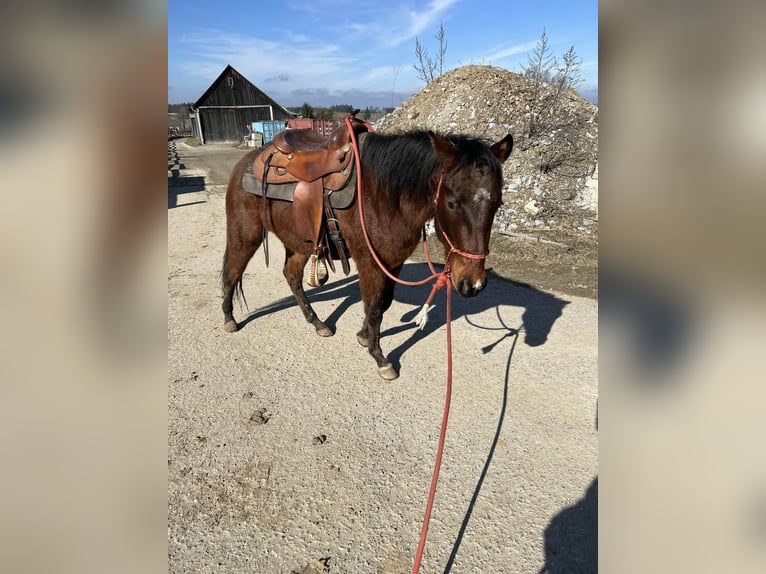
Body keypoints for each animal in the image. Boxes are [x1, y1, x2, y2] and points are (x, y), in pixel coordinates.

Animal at [219, 130, 512, 382]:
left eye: (497, 203)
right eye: (451, 203)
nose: (473, 284)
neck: (385, 196)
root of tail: (247, 161)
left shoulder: (393, 263)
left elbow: (383, 304)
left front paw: (363, 336)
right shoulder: (371, 263)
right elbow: (374, 310)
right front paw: (380, 357)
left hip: (301, 242)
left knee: (291, 276)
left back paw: (318, 323)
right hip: (246, 235)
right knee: (232, 271)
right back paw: (229, 319)